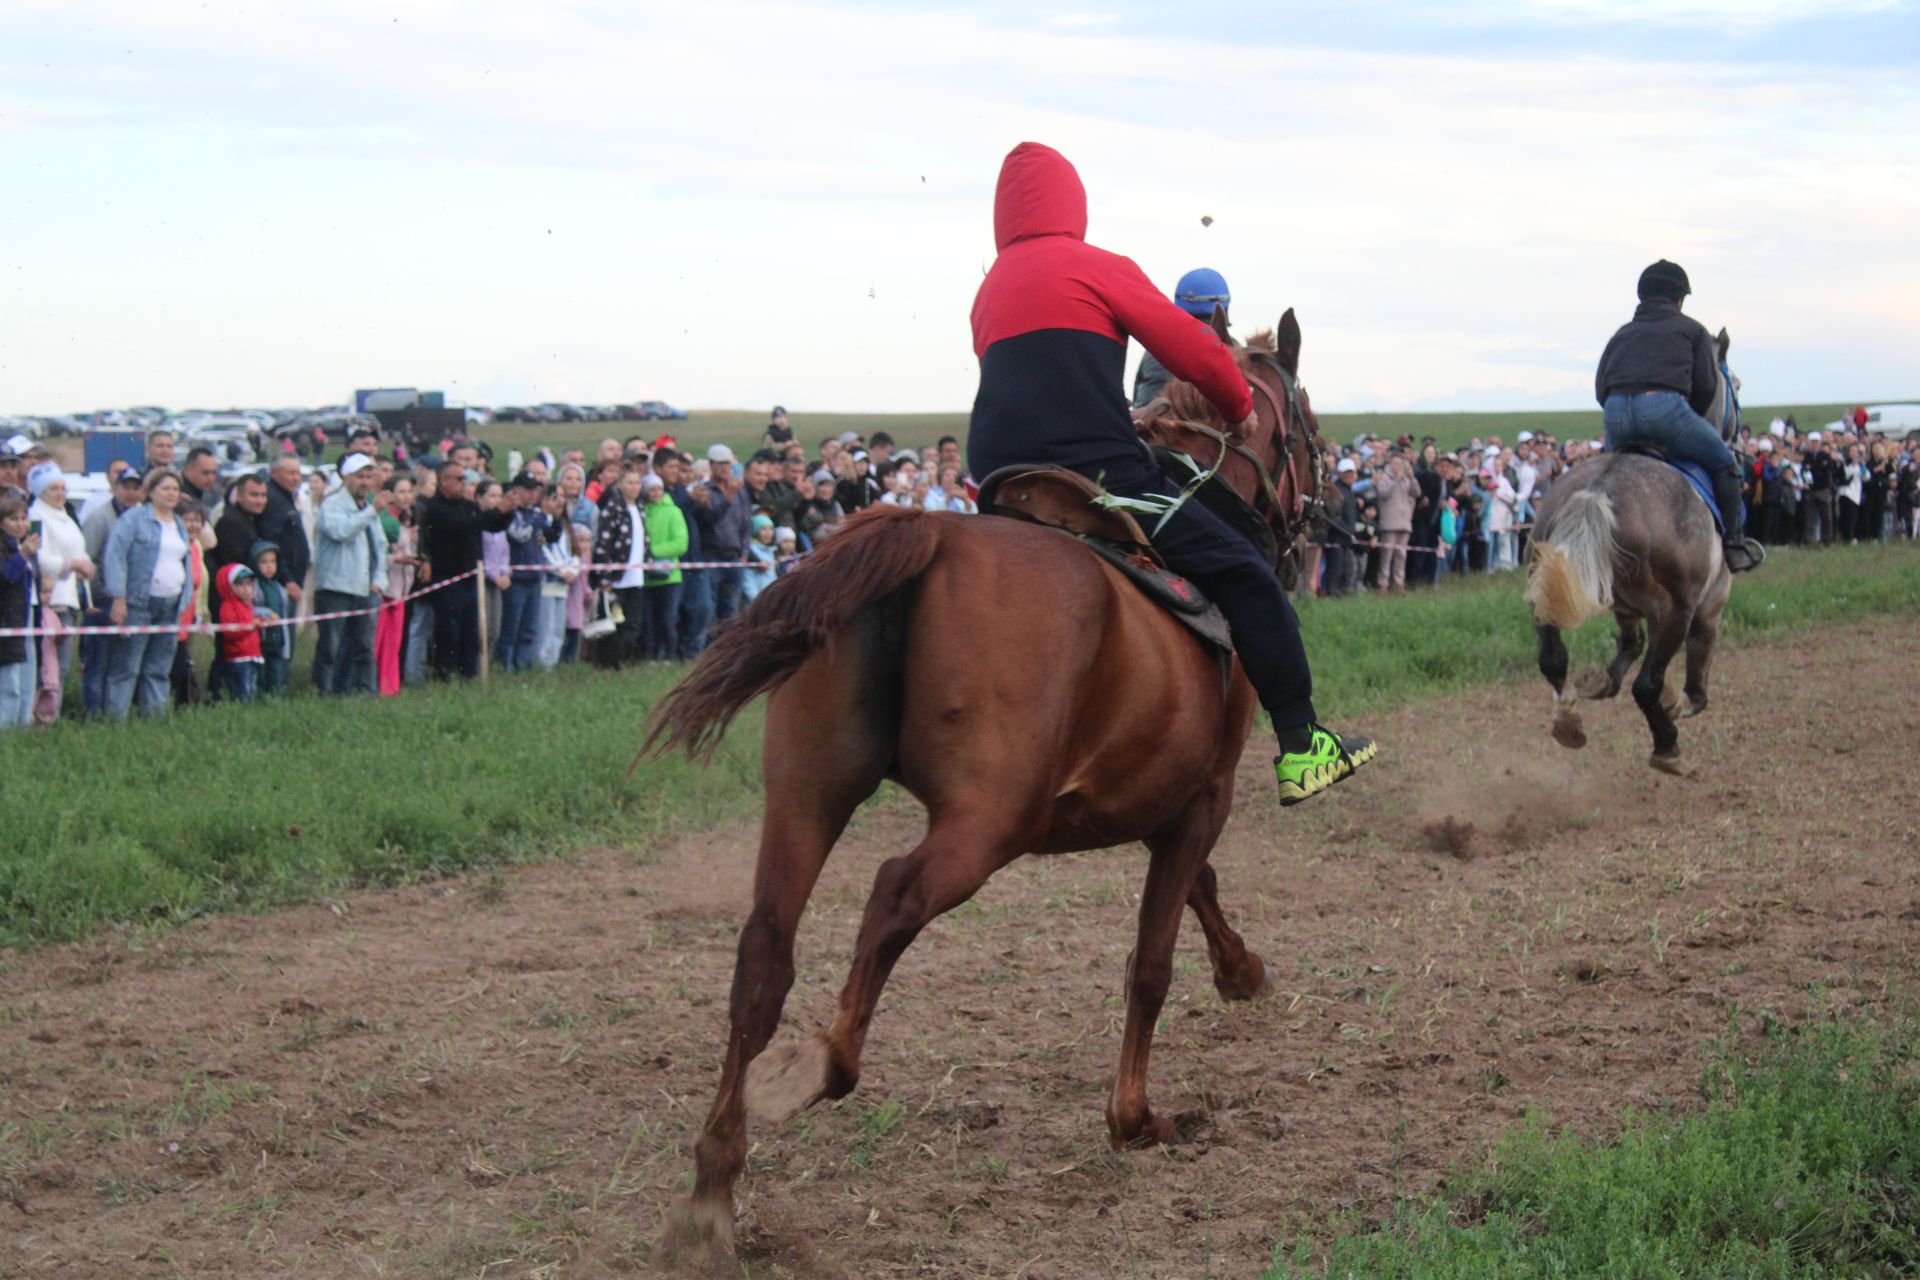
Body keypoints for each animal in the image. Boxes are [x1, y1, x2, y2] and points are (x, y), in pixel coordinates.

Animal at [652, 312, 1328, 1274]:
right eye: (1308, 425)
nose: (1320, 515)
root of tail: (927, 535)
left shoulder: (1158, 801)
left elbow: (1197, 892)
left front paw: (1242, 971)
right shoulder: (1206, 796)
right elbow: (1152, 961)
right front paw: (1134, 1117)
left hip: (807, 799)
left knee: (765, 955)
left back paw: (714, 1185)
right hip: (984, 824)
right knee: (893, 895)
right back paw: (820, 1068)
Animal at [1528, 328, 1743, 771]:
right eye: (1737, 384)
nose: (1738, 436)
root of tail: (1600, 490)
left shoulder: (1625, 606)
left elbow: (1628, 647)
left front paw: (1599, 682)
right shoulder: (1710, 606)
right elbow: (1695, 686)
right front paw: (1676, 705)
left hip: (1548, 581)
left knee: (1553, 659)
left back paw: (1568, 721)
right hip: (1677, 611)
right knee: (1647, 684)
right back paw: (1667, 746)